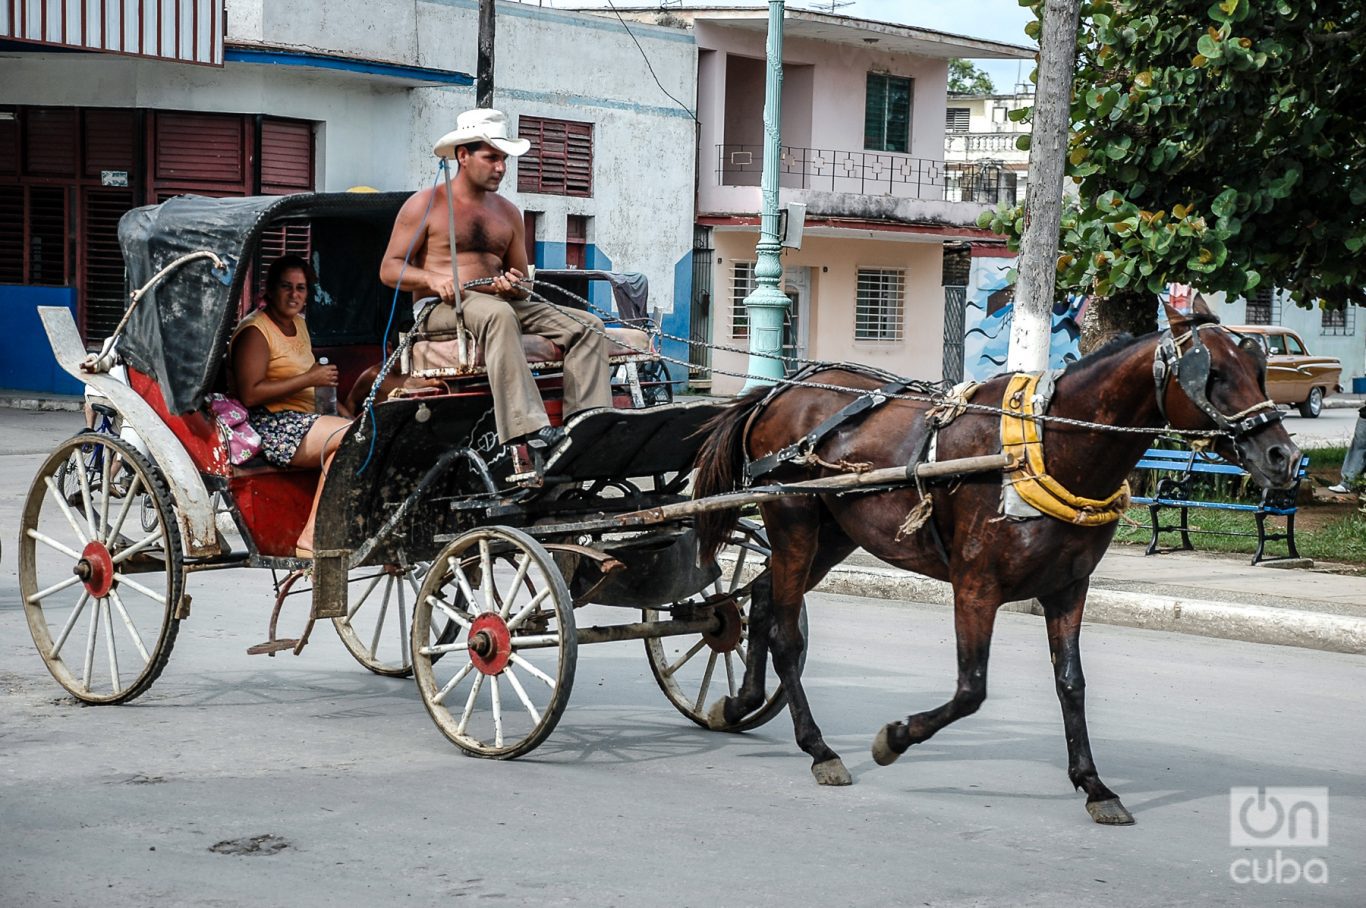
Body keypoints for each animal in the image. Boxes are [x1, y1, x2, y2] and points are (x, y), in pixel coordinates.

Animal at [699, 300, 1294, 824]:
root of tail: (779, 391)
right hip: (794, 521)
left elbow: (1070, 683)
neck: (1045, 446)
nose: (1282, 456)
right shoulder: (975, 586)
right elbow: (972, 689)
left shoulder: (1069, 588)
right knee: (785, 632)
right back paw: (819, 748)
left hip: (834, 534)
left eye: (1259, 369)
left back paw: (740, 702)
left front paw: (1094, 784)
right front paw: (894, 738)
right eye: (1212, 373)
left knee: (761, 599)